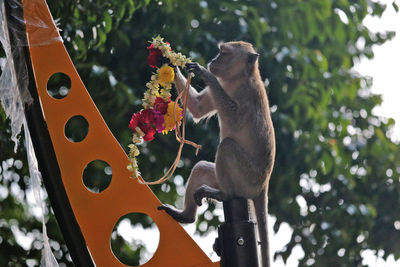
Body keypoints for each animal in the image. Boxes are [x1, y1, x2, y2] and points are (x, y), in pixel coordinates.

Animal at [158, 42, 276, 267]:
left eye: (224, 53)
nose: (213, 60)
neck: (239, 79)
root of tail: (263, 186)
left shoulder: (247, 94)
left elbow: (234, 117)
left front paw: (206, 74)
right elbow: (197, 107)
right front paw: (170, 61)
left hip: (247, 181)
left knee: (227, 147)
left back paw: (225, 195)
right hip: (225, 179)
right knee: (202, 168)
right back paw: (186, 216)